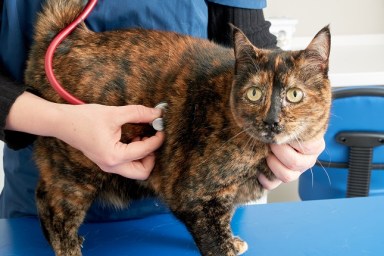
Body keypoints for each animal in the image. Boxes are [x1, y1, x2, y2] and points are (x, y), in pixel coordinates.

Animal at [24, 0, 332, 256]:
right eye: (254, 94)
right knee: (54, 207)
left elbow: (226, 220)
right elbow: (214, 239)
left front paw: (232, 240)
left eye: (294, 94)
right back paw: (67, 247)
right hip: (76, 169)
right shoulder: (194, 197)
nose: (271, 120)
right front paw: (227, 247)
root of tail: (69, 39)